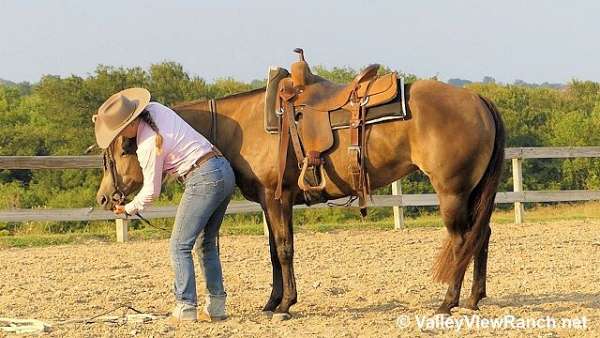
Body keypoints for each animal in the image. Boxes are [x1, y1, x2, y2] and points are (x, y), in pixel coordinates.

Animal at [96, 79, 504, 320]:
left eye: (121, 150)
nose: (104, 198)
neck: (242, 126)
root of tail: (477, 98)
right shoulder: (272, 201)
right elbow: (274, 251)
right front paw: (272, 302)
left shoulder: (276, 199)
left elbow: (284, 249)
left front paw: (285, 305)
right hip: (470, 193)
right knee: (480, 237)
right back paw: (473, 298)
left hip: (452, 192)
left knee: (461, 240)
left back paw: (448, 302)